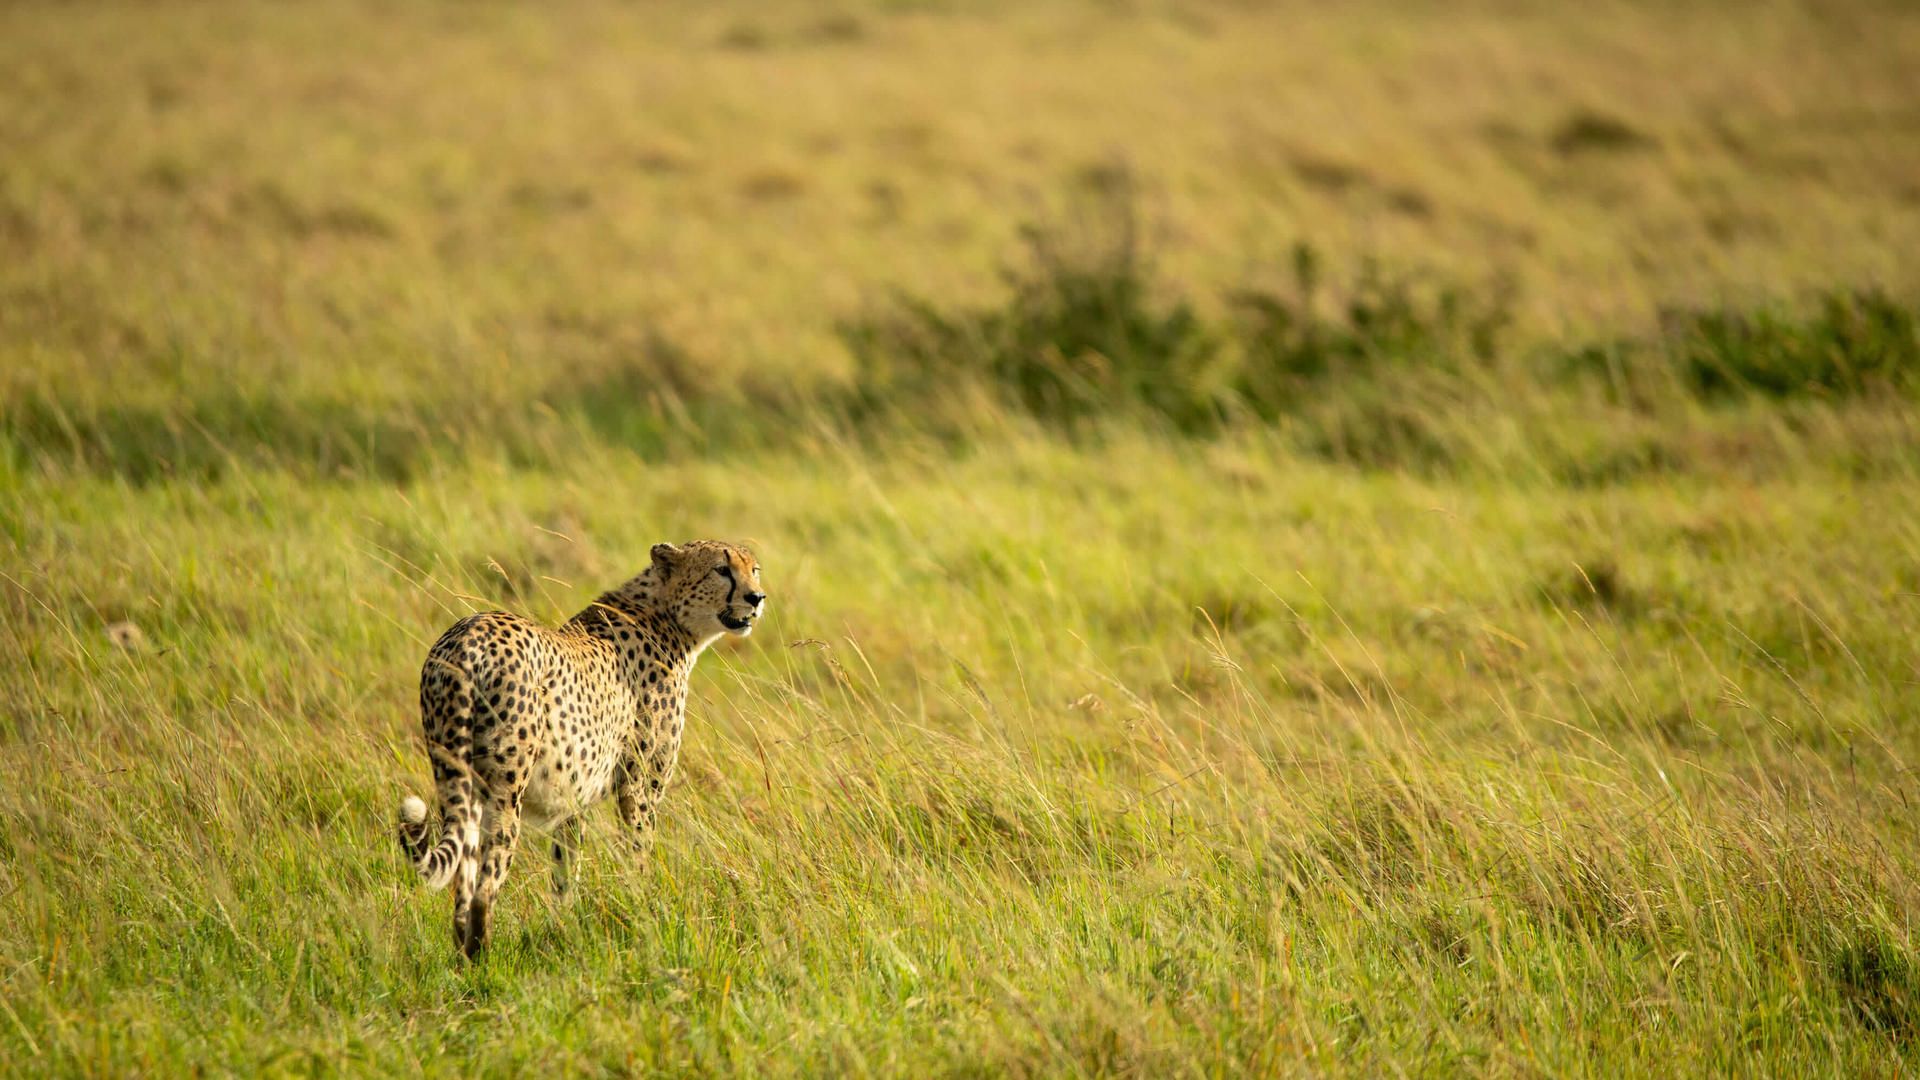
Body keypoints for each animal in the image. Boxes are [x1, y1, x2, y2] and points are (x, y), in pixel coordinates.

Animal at [395, 539, 765, 958]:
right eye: (721, 569)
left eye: (754, 570)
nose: (756, 598)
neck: (665, 616)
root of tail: (468, 635)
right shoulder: (640, 789)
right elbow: (639, 852)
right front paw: (646, 909)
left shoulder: (573, 797)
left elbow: (565, 871)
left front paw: (563, 929)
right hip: (505, 791)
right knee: (485, 887)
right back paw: (484, 962)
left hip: (456, 776)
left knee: (463, 880)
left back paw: (464, 958)